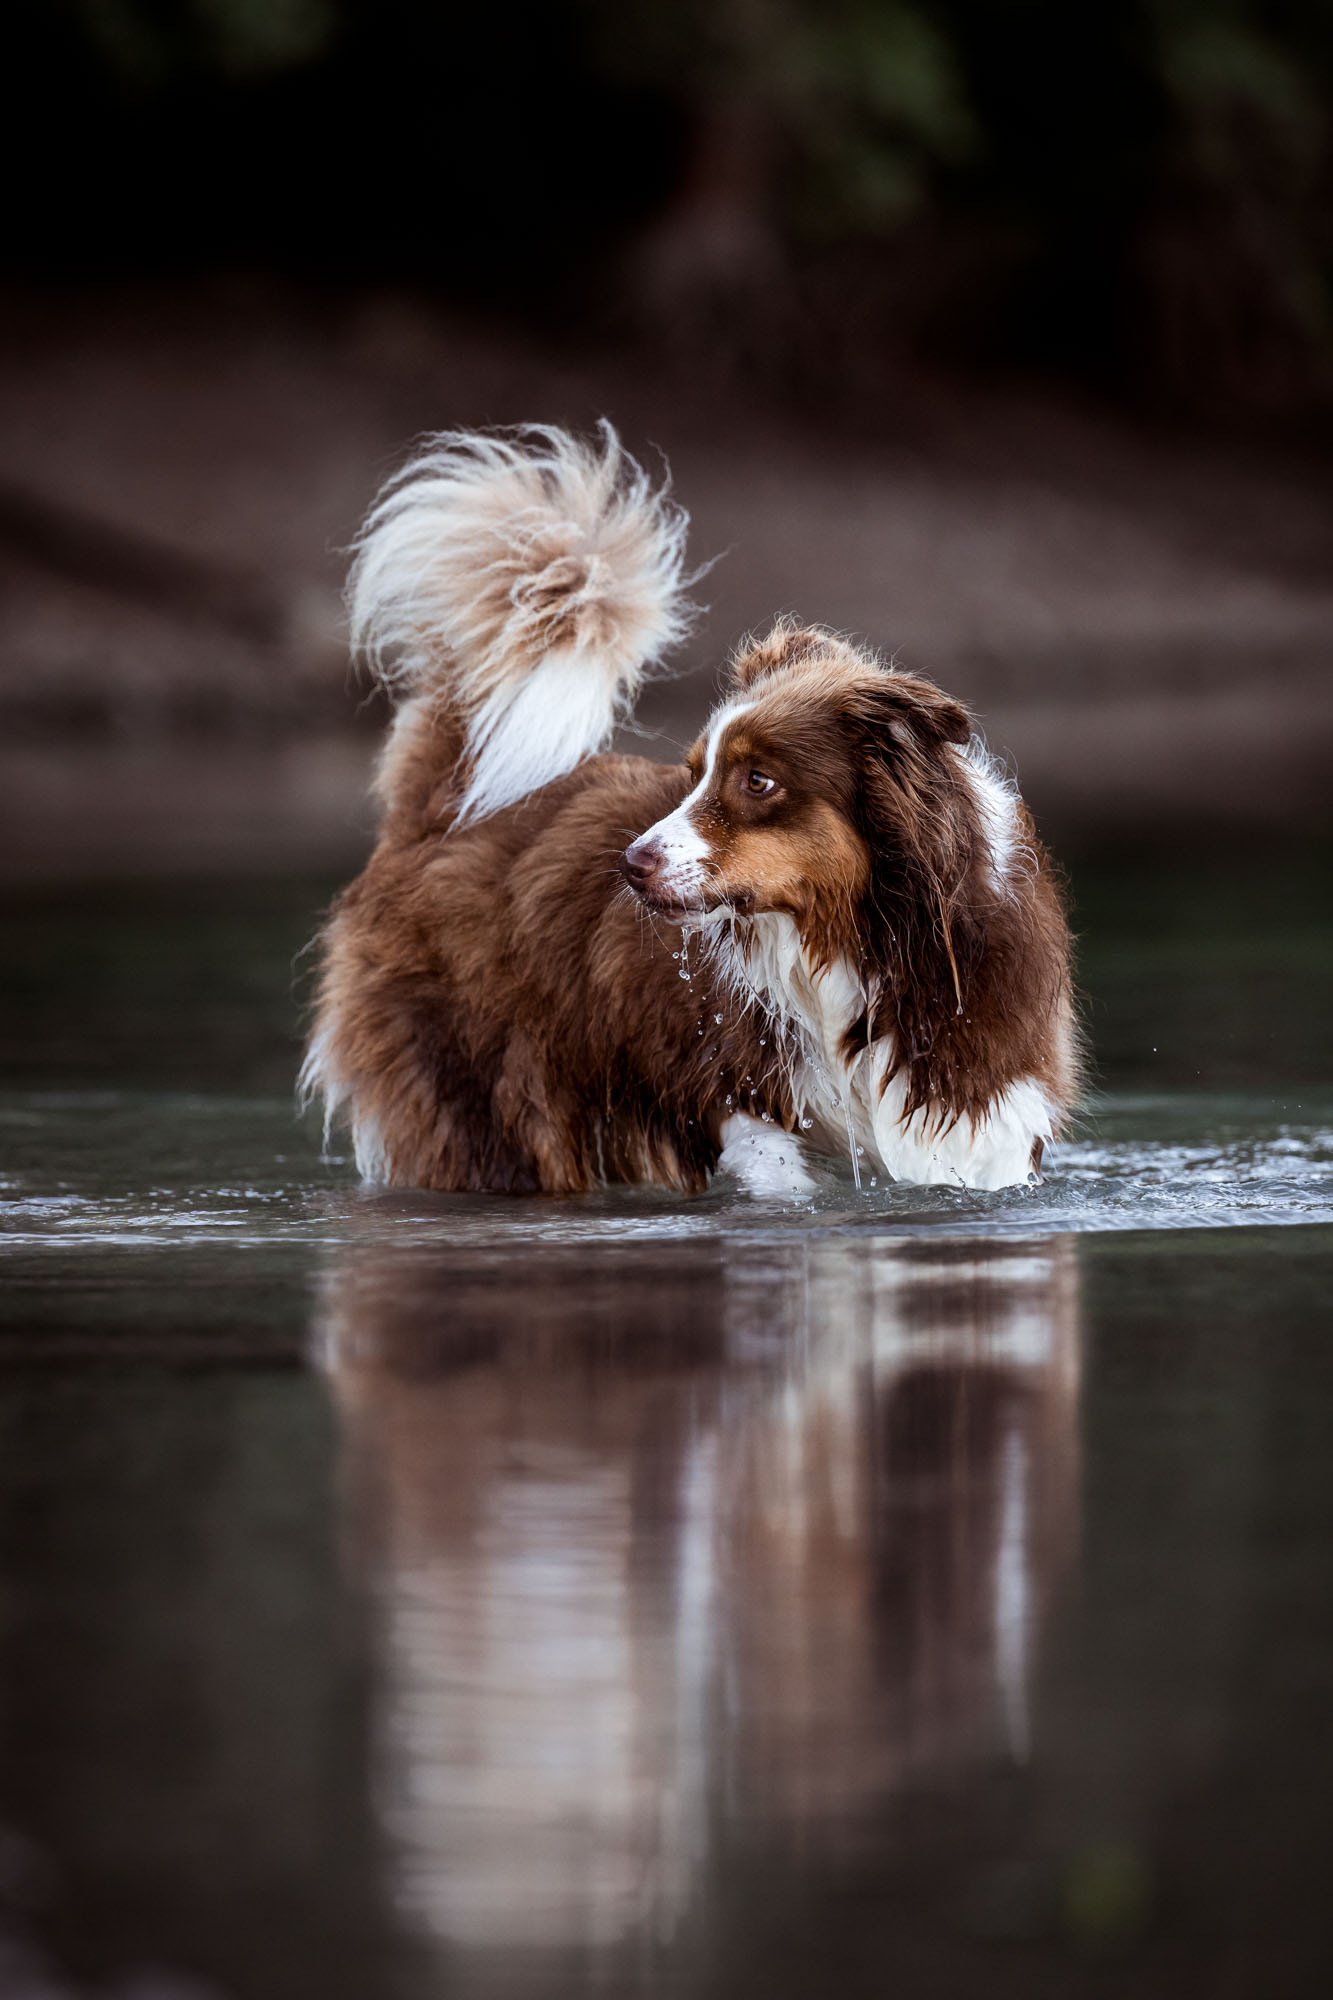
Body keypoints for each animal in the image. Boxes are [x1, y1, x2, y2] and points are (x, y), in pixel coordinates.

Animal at [298, 424, 1072, 1192]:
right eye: (693, 774)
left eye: (757, 781)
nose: (629, 865)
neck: (848, 941)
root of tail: (444, 800)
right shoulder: (732, 1088)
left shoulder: (980, 1107)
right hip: (489, 1098)